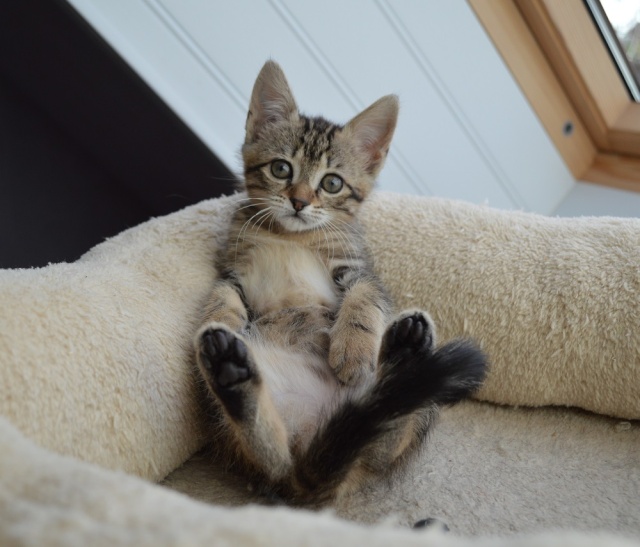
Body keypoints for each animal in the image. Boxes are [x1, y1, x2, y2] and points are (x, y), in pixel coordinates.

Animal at [195, 61, 484, 510]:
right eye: (281, 169)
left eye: (332, 183)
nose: (299, 202)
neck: (292, 236)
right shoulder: (232, 272)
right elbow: (221, 296)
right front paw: (220, 322)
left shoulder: (359, 270)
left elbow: (365, 299)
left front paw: (353, 347)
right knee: (274, 459)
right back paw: (229, 368)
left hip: (422, 402)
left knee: (387, 435)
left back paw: (405, 351)